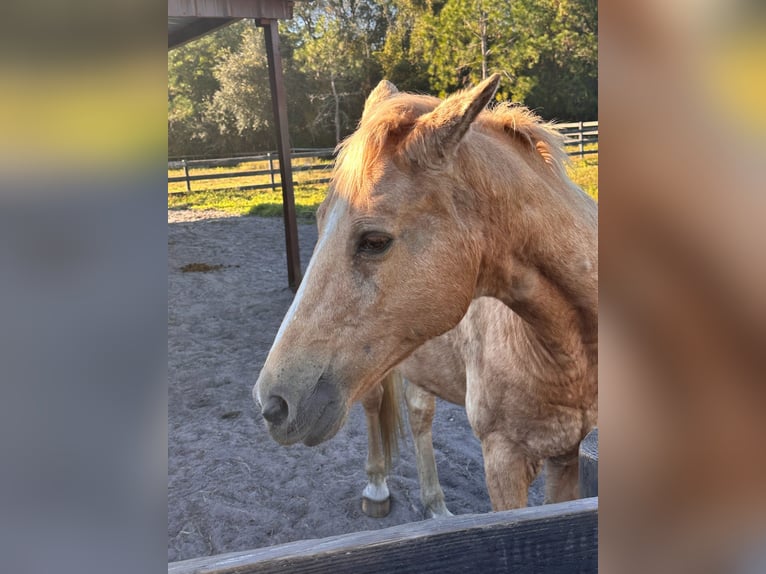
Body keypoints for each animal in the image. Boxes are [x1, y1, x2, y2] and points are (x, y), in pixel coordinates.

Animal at [360, 296, 597, 518]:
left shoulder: (569, 451)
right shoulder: (503, 455)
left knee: (418, 409)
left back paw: (436, 507)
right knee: (373, 399)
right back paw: (376, 488)